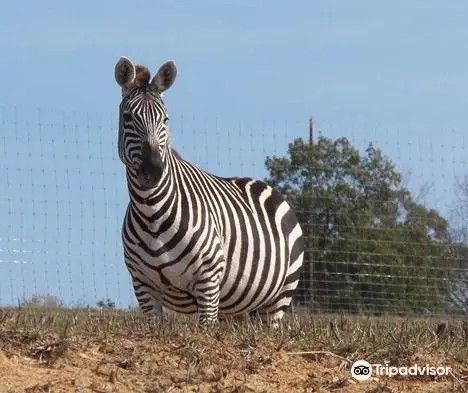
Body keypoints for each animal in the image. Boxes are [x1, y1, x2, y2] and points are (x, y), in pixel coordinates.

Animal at [112, 55, 304, 324]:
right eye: (128, 118)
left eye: (165, 120)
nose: (153, 172)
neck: (151, 212)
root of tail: (264, 184)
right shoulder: (144, 287)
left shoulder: (208, 283)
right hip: (240, 308)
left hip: (279, 297)